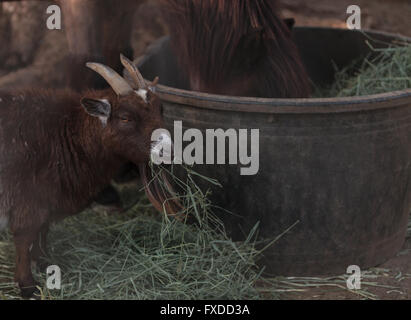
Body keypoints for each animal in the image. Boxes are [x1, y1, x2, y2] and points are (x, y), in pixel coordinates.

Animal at [0, 55, 175, 298]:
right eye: (125, 118)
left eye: (161, 108)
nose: (167, 151)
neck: (65, 135)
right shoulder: (28, 201)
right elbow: (24, 240)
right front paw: (27, 286)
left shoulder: (47, 202)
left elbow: (43, 232)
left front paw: (45, 263)